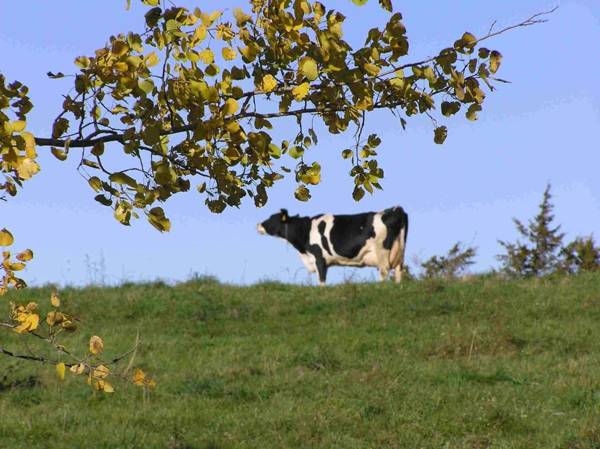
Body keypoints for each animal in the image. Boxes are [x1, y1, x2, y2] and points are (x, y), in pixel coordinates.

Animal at [255, 206, 410, 284]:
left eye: (271, 218)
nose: (258, 225)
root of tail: (396, 209)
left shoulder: (319, 258)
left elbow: (322, 280)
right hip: (400, 252)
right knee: (398, 271)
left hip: (382, 251)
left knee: (384, 271)